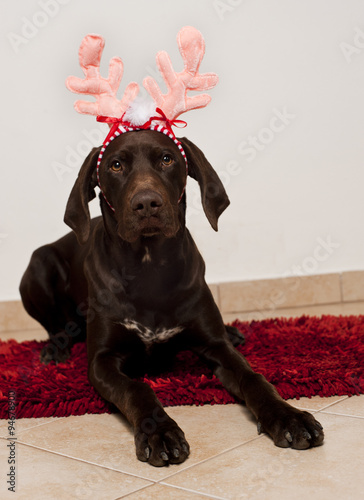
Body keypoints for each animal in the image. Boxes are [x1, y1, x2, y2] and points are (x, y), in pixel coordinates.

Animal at [19, 131, 324, 466]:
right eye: (115, 165)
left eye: (167, 159)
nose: (146, 203)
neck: (149, 266)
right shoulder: (101, 361)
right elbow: (137, 388)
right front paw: (160, 433)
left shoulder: (215, 346)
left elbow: (253, 377)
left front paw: (288, 417)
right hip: (38, 262)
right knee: (56, 325)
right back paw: (54, 349)